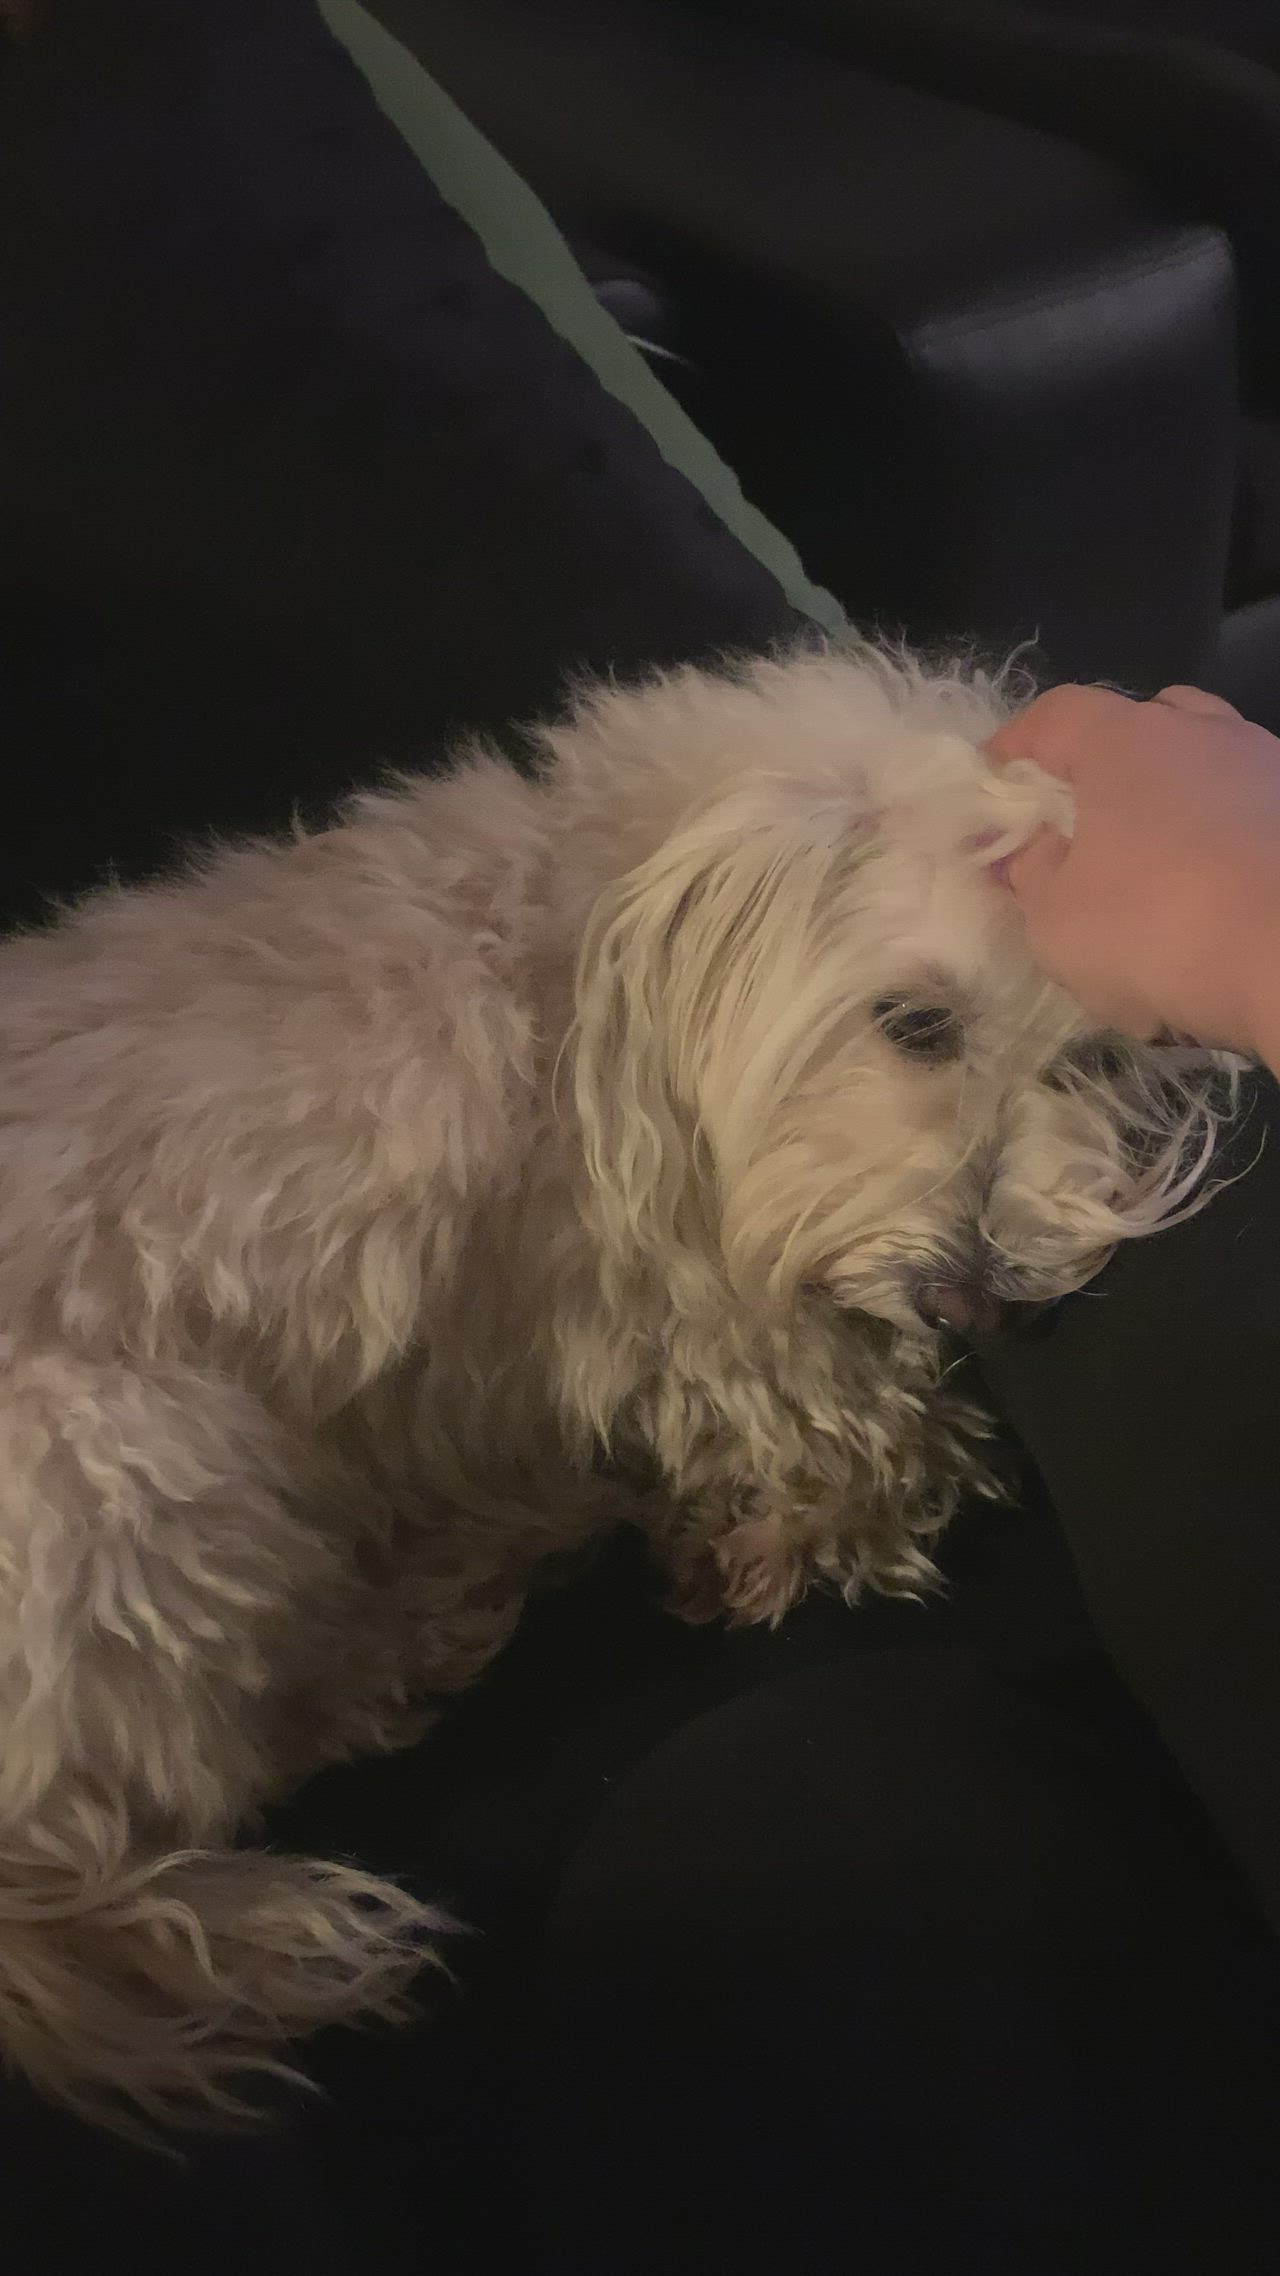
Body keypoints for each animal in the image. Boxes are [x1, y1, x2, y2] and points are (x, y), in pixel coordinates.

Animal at [0, 637, 1229, 2130]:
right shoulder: (680, 1307)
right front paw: (812, 1519)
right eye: (915, 1020)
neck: (606, 950)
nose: (977, 1299)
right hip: (136, 1470)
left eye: (1093, 1057)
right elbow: (866, 1424)